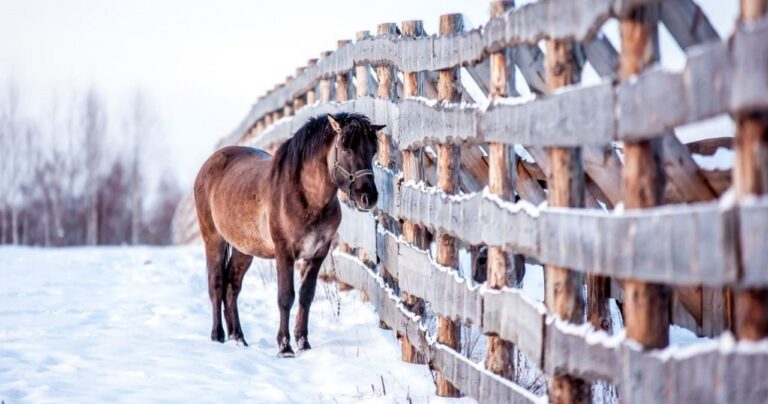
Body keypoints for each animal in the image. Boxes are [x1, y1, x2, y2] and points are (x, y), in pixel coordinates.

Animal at [194, 113, 382, 357]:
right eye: (345, 148)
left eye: (373, 150)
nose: (368, 197)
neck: (306, 196)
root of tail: (210, 163)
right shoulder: (284, 252)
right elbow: (285, 297)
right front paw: (285, 347)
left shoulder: (318, 254)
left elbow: (305, 297)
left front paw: (304, 343)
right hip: (213, 240)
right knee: (216, 284)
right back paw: (217, 336)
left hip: (244, 249)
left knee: (231, 287)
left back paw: (239, 338)